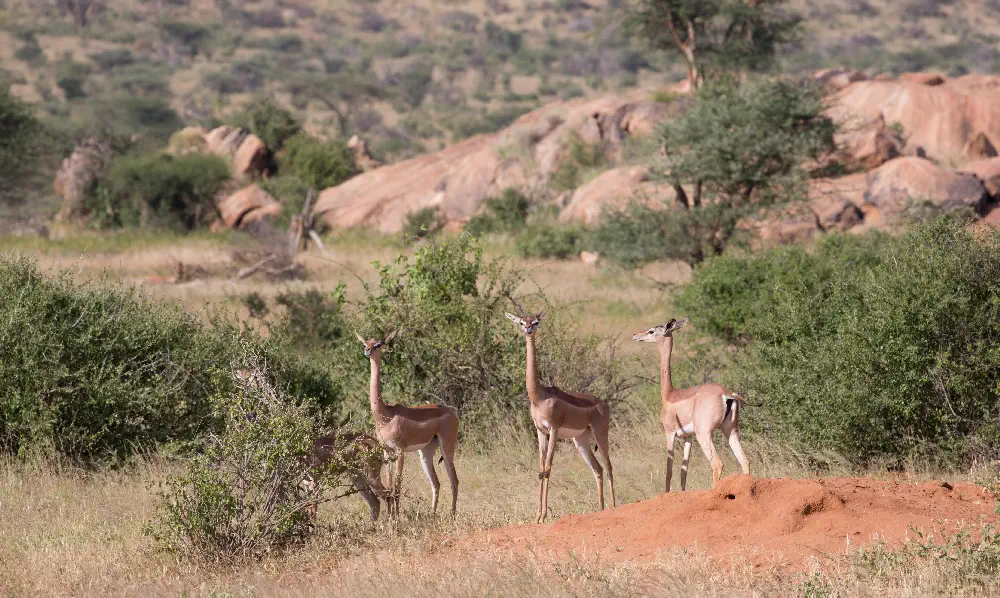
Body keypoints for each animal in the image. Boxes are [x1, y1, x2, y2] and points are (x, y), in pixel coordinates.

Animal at [357, 331, 460, 516]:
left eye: (378, 344)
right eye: (365, 343)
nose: (368, 351)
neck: (386, 416)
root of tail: (451, 413)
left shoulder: (400, 451)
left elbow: (397, 488)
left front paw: (397, 520)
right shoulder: (387, 452)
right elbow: (390, 487)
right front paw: (391, 518)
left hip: (447, 449)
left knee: (454, 480)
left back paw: (452, 516)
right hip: (425, 453)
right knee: (436, 483)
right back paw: (432, 515)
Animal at [504, 305, 615, 523]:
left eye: (536, 321)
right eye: (521, 321)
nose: (528, 329)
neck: (539, 396)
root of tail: (602, 403)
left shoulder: (554, 430)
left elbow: (548, 468)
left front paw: (543, 515)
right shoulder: (540, 431)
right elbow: (540, 470)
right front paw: (537, 516)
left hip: (600, 434)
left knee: (608, 467)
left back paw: (615, 507)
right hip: (580, 440)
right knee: (597, 468)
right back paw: (600, 509)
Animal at [633, 317, 750, 491]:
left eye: (651, 331)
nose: (636, 335)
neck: (669, 394)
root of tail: (725, 393)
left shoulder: (670, 433)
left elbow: (669, 471)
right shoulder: (688, 437)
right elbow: (684, 472)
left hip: (705, 434)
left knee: (717, 464)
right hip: (731, 431)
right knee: (745, 461)